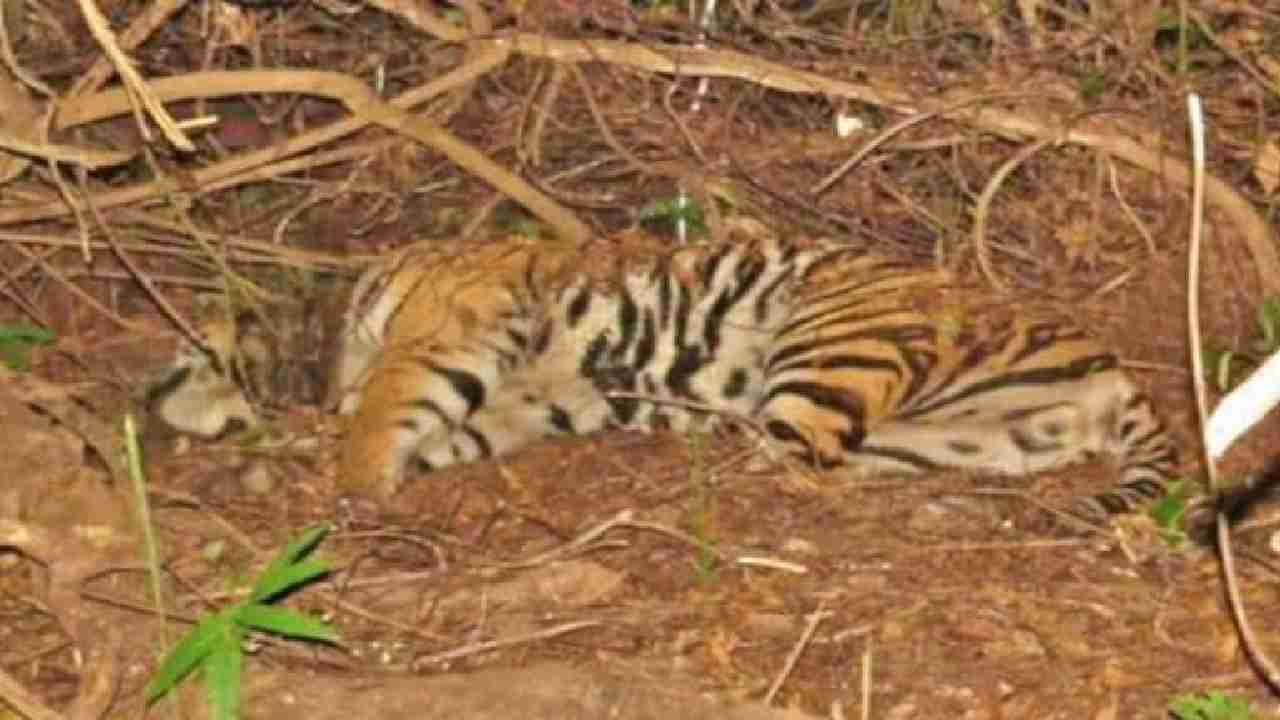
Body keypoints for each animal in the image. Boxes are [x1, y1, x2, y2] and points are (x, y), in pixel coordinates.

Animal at [147, 221, 1177, 525]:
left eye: (185, 352)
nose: (141, 397)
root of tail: (1111, 368)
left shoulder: (442, 339)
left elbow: (380, 417)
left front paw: (350, 486)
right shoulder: (534, 400)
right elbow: (450, 434)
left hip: (833, 341)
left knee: (792, 461)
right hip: (952, 437)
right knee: (835, 468)